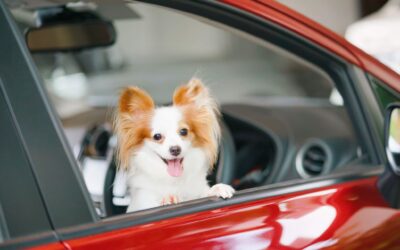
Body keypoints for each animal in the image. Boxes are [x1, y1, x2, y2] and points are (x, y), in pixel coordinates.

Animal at [114, 78, 234, 211]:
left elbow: (203, 193)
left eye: (183, 131)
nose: (175, 149)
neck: (174, 181)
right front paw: (168, 199)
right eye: (157, 136)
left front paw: (218, 188)